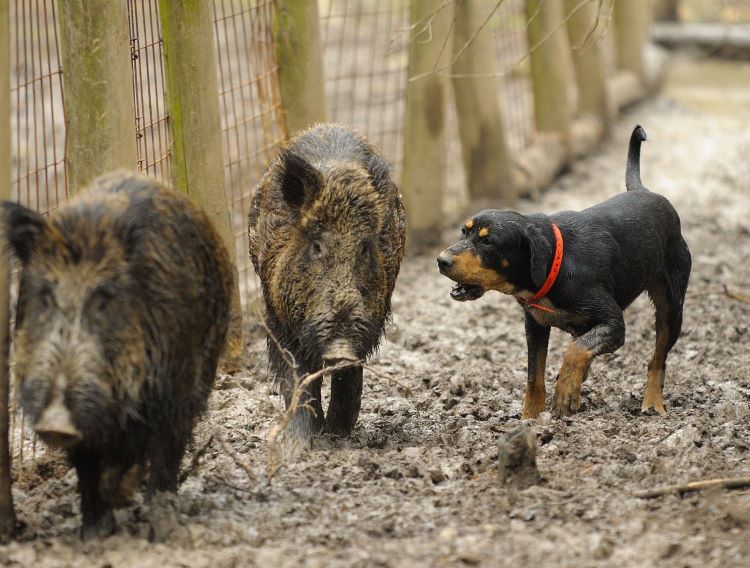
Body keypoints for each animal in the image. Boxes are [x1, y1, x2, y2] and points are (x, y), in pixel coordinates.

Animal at [440, 126, 692, 420]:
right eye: (463, 231)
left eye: (488, 242)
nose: (441, 260)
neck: (555, 263)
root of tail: (645, 190)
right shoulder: (535, 325)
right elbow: (534, 377)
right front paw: (531, 419)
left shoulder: (614, 324)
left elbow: (576, 350)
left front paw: (564, 392)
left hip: (671, 308)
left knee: (657, 358)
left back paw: (652, 401)